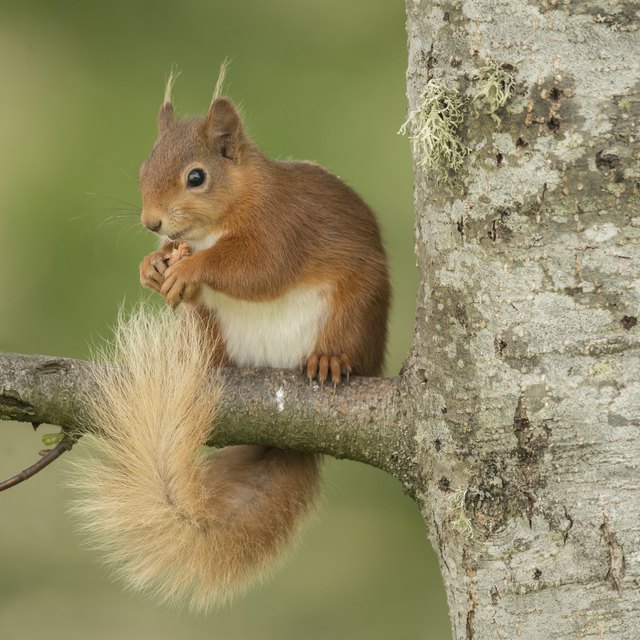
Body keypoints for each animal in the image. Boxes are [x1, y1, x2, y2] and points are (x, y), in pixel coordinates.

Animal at [71, 74, 390, 608]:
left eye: (196, 177)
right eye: (143, 167)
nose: (151, 223)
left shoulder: (284, 227)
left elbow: (257, 268)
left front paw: (190, 268)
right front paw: (152, 265)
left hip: (355, 312)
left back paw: (329, 360)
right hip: (207, 325)